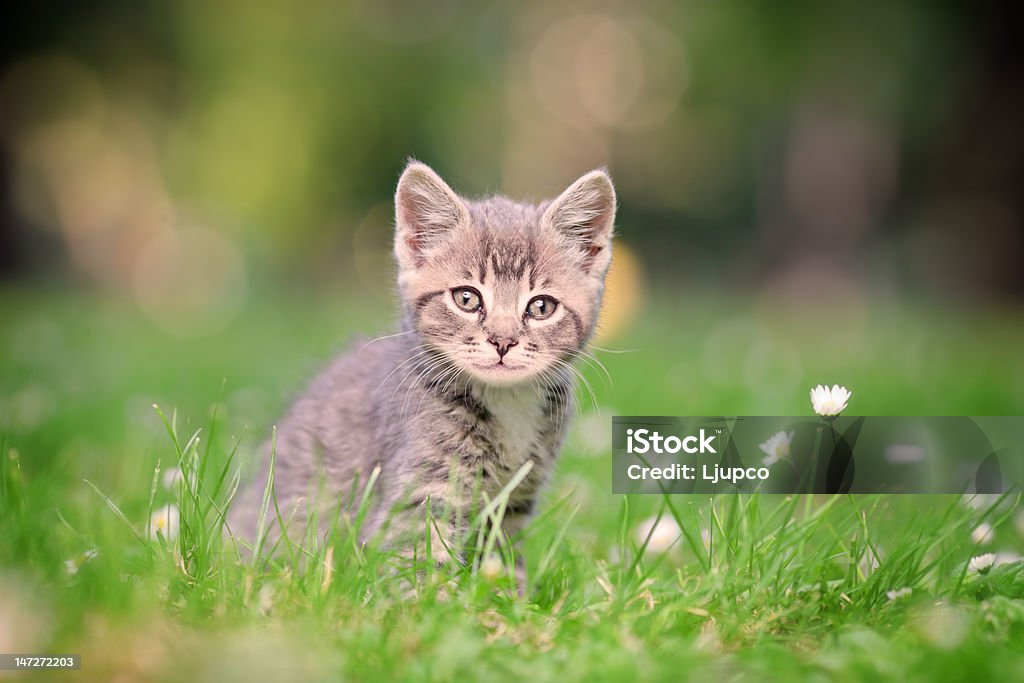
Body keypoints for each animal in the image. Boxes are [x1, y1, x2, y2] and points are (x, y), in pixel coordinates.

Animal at [230, 162, 614, 569]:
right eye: (467, 298)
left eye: (541, 307)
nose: (503, 341)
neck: (507, 402)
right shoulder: (419, 494)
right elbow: (420, 563)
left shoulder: (512, 502)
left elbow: (501, 562)